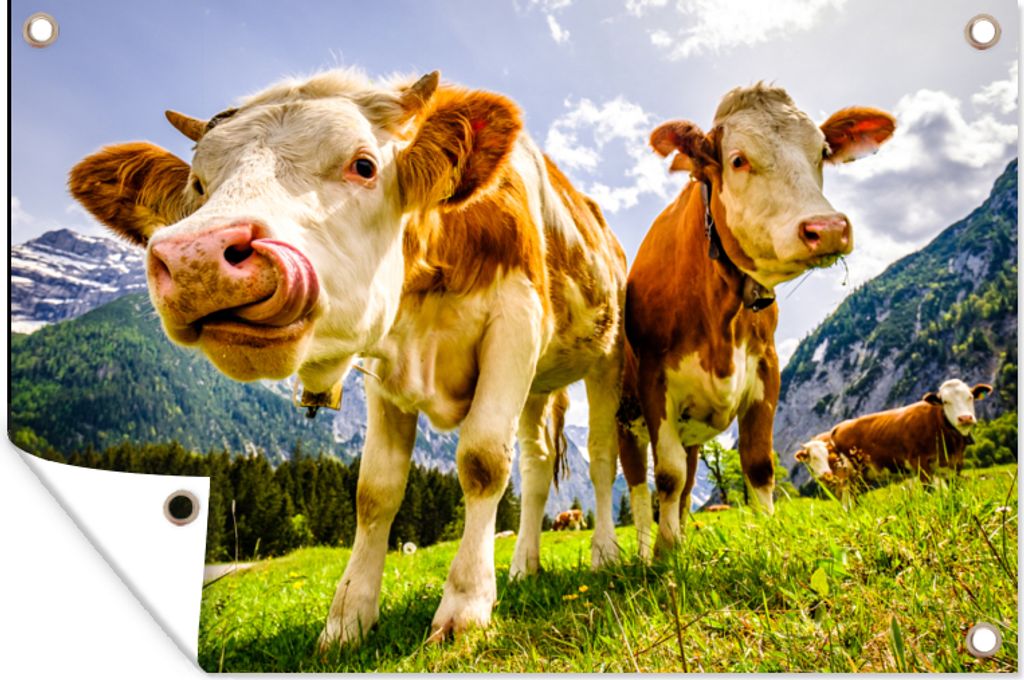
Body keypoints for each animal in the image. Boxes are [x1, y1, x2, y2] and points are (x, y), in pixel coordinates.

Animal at [68, 69, 627, 648]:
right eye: (198, 186)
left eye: (364, 165)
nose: (197, 258)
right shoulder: (385, 367)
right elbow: (375, 491)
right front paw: (348, 618)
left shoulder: (517, 322)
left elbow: (482, 463)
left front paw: (465, 608)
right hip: (538, 388)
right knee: (537, 469)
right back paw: (523, 567)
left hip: (607, 357)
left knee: (602, 456)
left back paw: (605, 554)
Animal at [617, 83, 895, 560]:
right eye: (738, 160)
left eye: (822, 152)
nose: (827, 228)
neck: (719, 311)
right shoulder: (655, 381)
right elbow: (667, 475)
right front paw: (666, 554)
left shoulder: (767, 367)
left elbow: (758, 466)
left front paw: (767, 537)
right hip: (623, 417)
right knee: (638, 486)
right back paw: (645, 552)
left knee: (688, 483)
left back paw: (678, 538)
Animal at [796, 380, 993, 491]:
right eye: (945, 401)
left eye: (970, 397)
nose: (965, 418)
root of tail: (839, 426)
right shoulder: (919, 463)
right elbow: (929, 490)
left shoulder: (955, 465)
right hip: (853, 477)